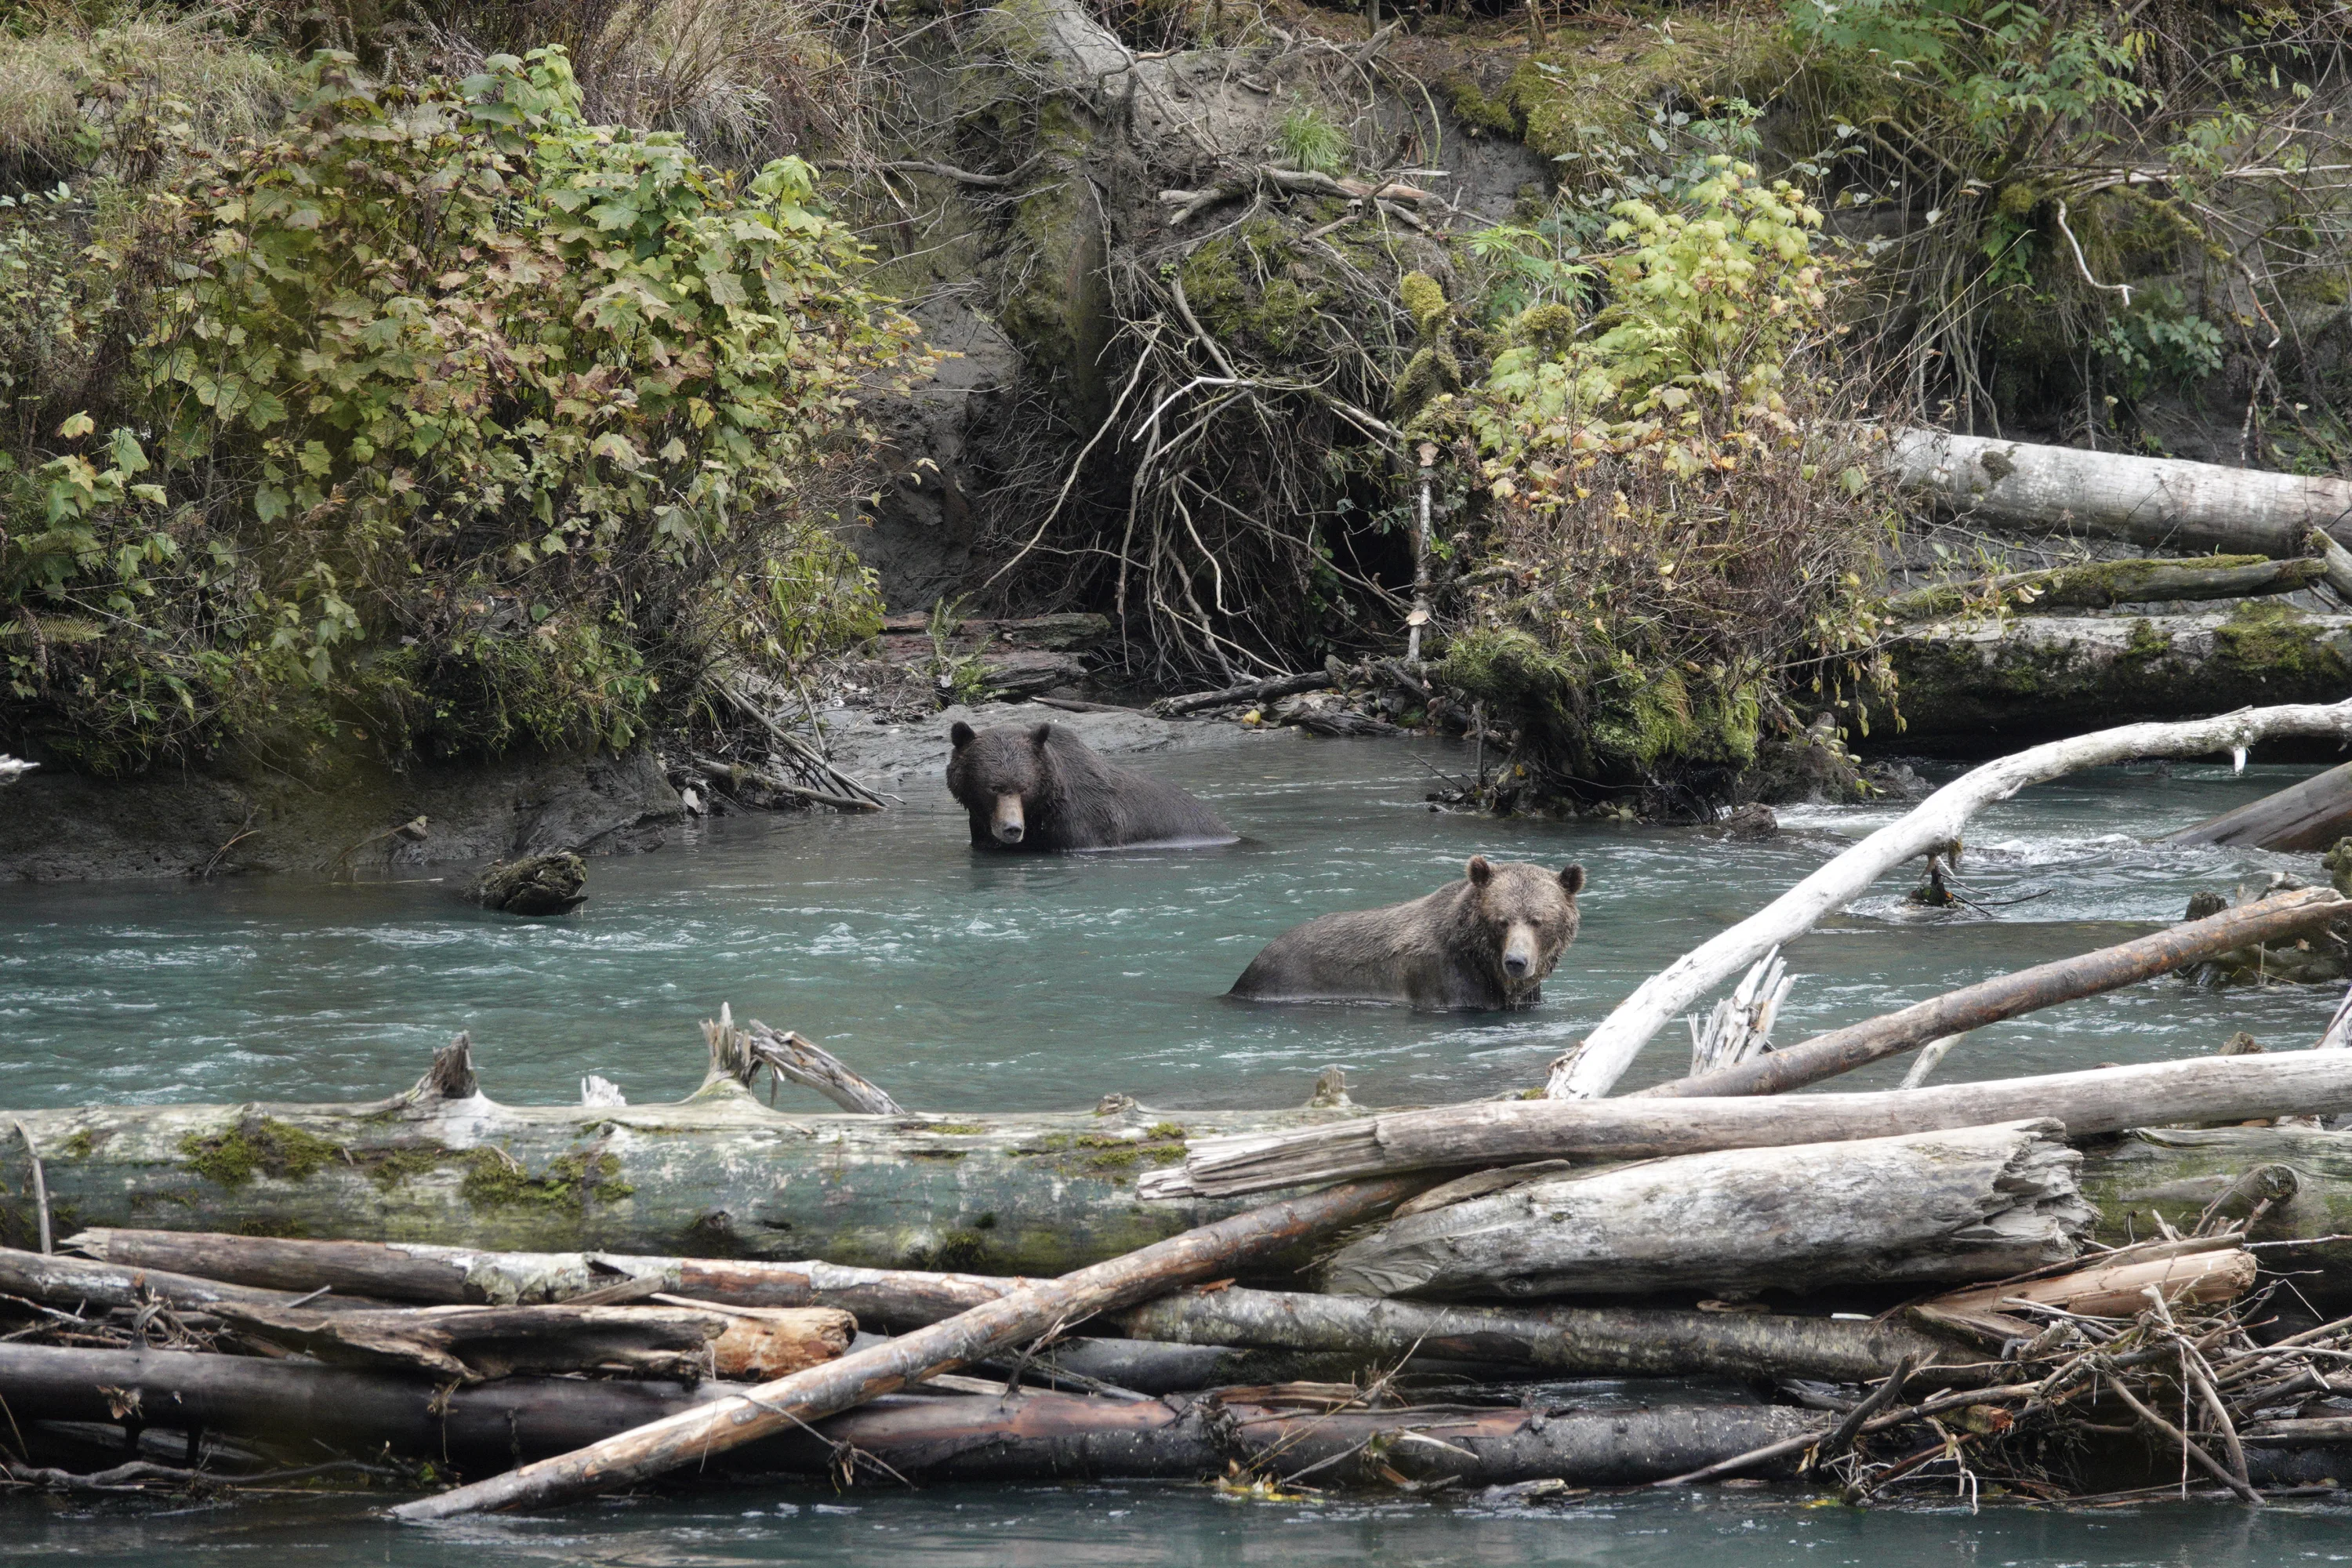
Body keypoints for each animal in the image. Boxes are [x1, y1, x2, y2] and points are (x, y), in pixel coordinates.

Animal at [946, 720, 1236, 851]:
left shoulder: (1083, 827)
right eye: (993, 787)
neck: (1042, 809)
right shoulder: (982, 828)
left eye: (1025, 787)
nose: (1012, 829)